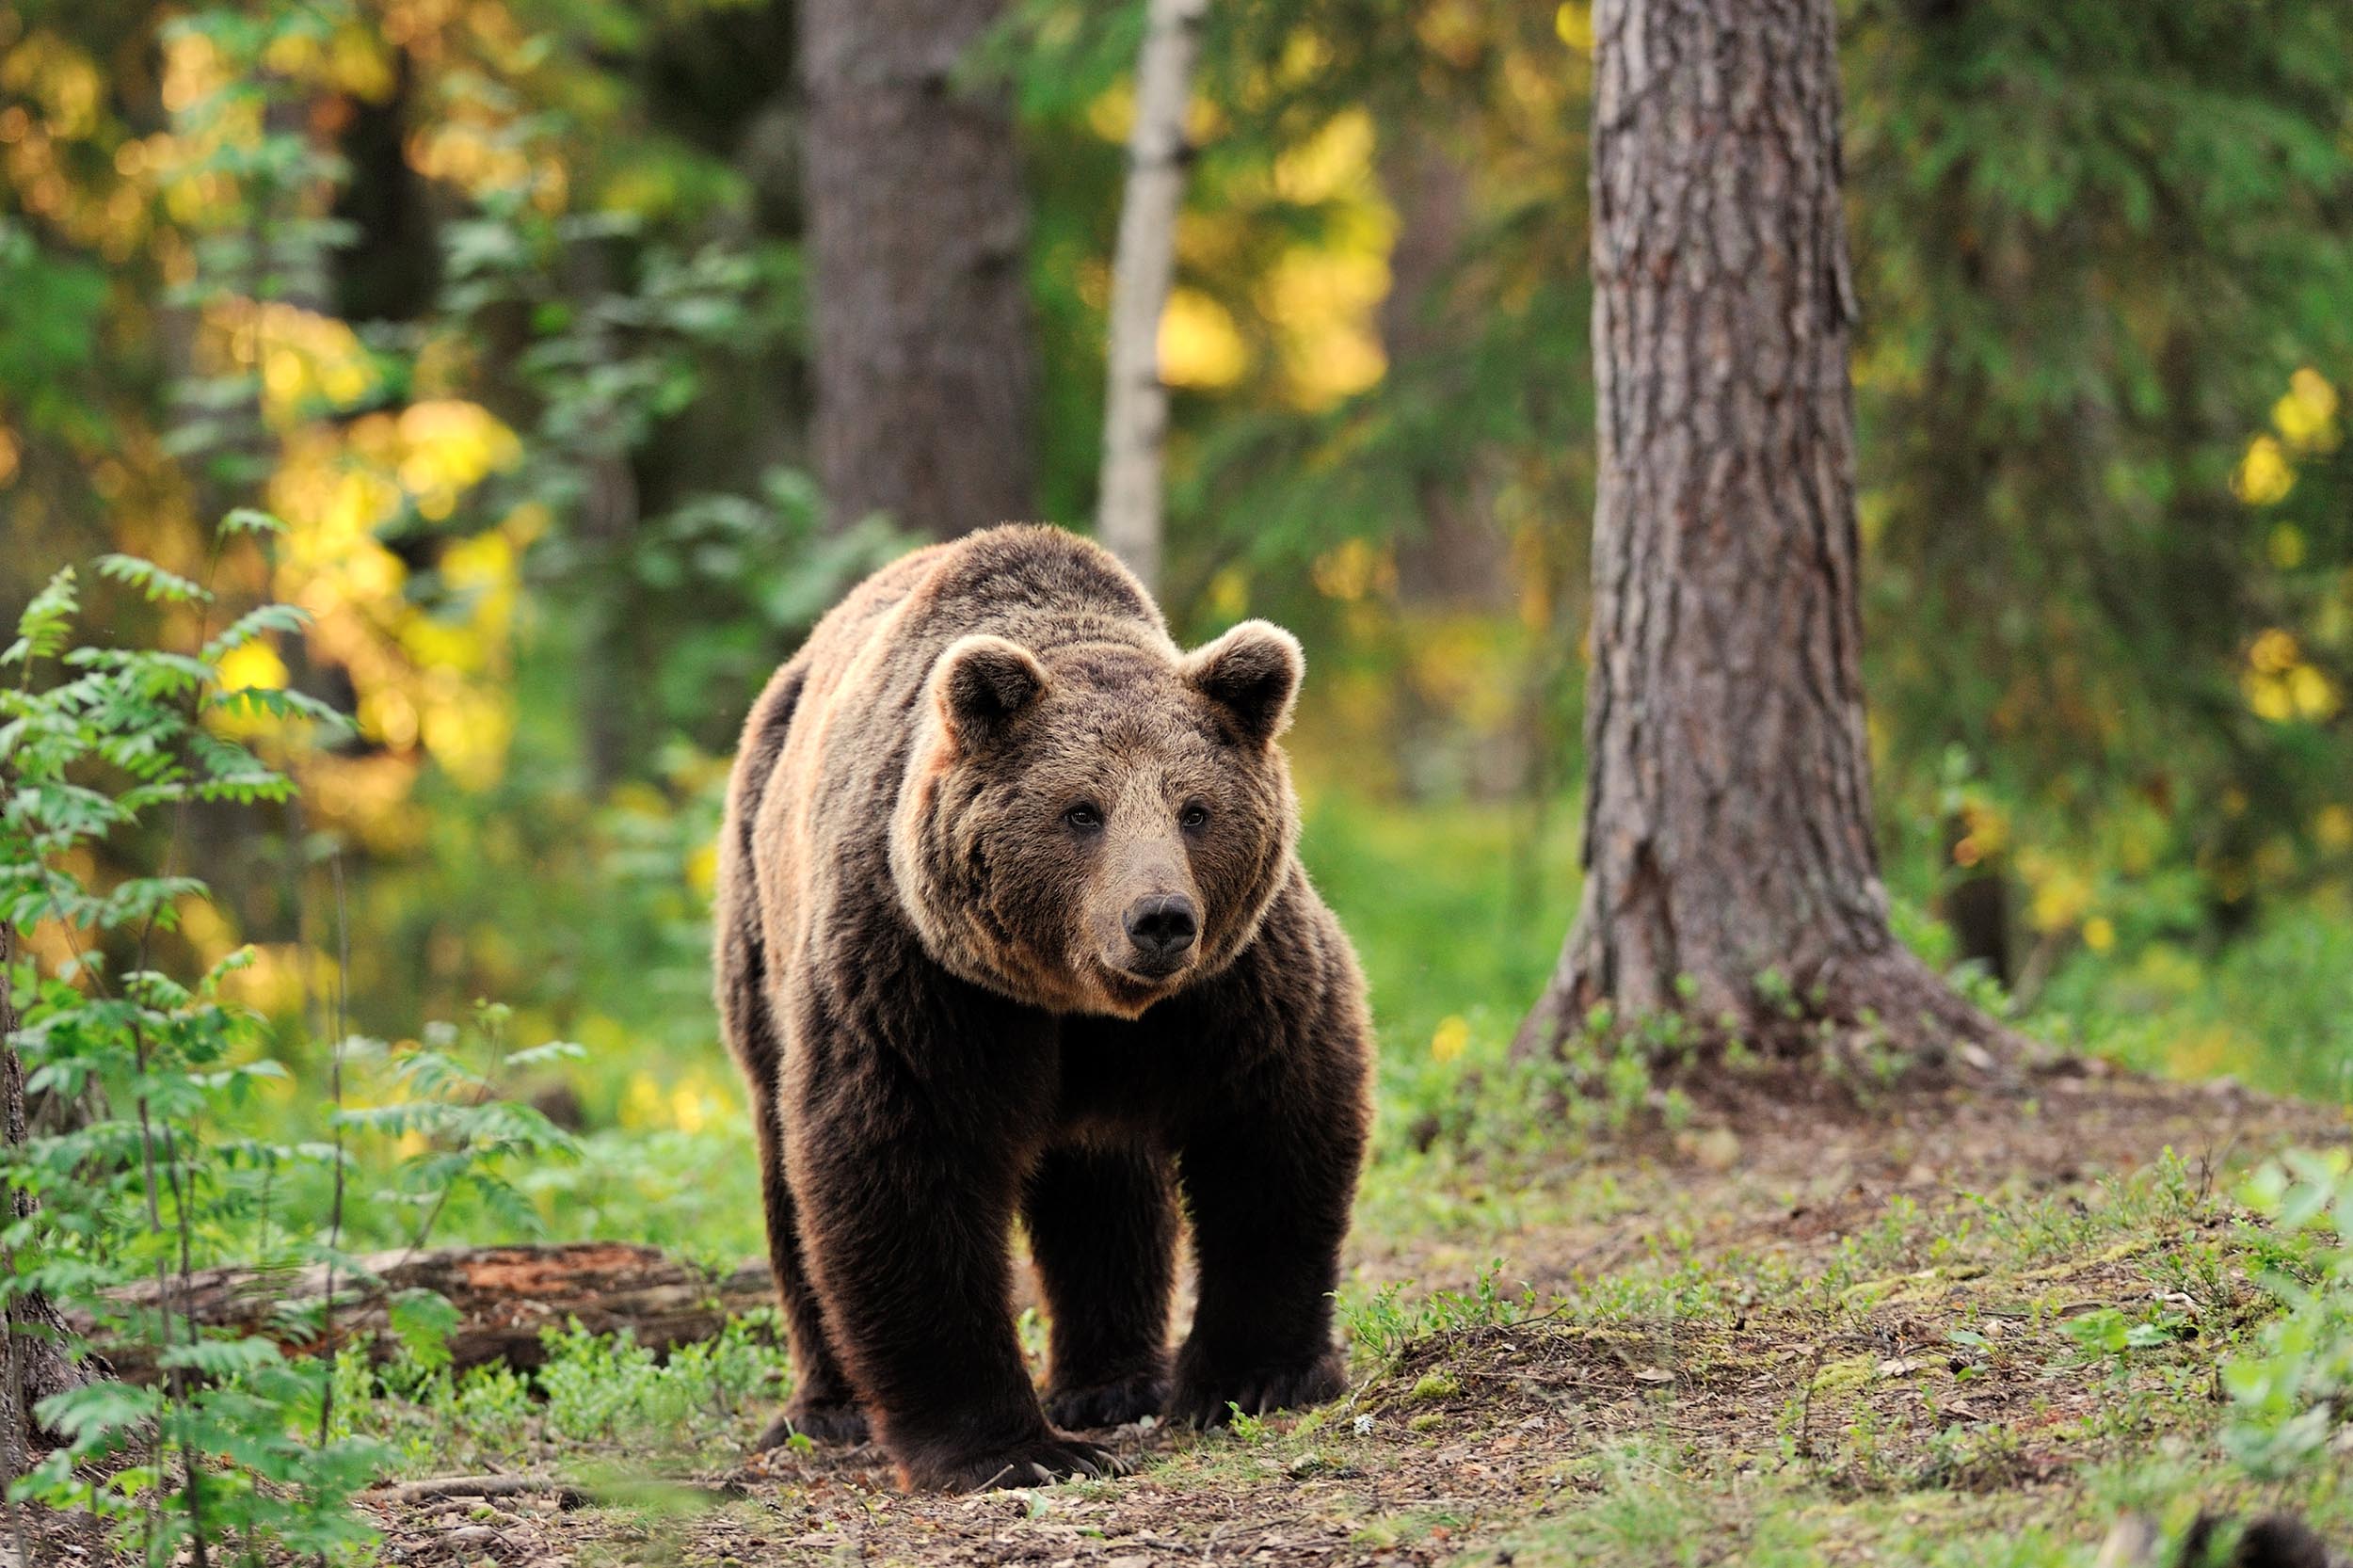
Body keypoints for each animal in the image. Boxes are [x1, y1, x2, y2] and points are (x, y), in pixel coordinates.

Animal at [714, 524, 1373, 1492]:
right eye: (1081, 811)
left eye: (1195, 809)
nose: (1159, 919)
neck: (1072, 995)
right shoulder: (921, 975)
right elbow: (903, 1168)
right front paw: (1009, 1446)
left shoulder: (1234, 981)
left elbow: (1271, 1127)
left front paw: (1254, 1377)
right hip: (761, 930)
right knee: (788, 1176)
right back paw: (829, 1407)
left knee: (1102, 1179)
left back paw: (1112, 1382)